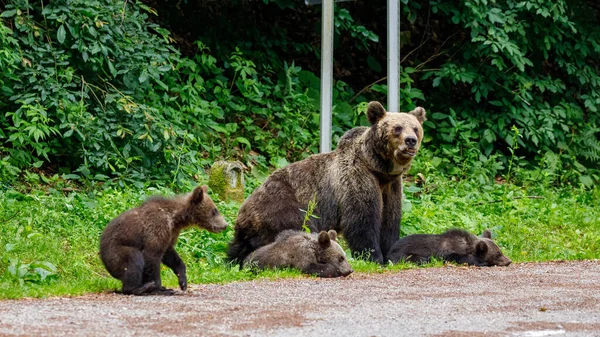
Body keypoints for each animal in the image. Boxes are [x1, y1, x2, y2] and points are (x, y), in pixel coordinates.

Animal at [227, 101, 424, 264]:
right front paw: (373, 257)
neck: (379, 168)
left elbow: (389, 220)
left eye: (415, 128)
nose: (410, 141)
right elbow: (362, 220)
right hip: (284, 208)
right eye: (397, 128)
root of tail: (243, 212)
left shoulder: (391, 187)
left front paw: (392, 253)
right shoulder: (357, 179)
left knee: (236, 248)